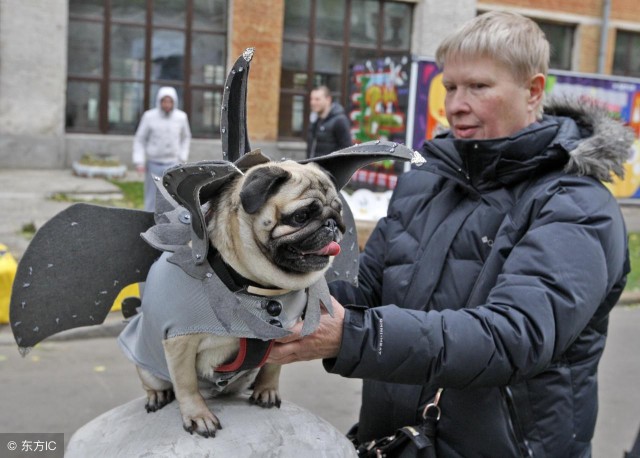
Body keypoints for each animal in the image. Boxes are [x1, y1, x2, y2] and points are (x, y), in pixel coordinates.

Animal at [119, 159, 344, 438]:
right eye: (300, 216)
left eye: (339, 211)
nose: (332, 224)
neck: (255, 286)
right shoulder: (179, 342)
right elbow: (186, 384)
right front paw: (198, 416)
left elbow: (272, 367)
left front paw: (267, 390)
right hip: (146, 366)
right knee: (157, 382)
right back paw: (158, 395)